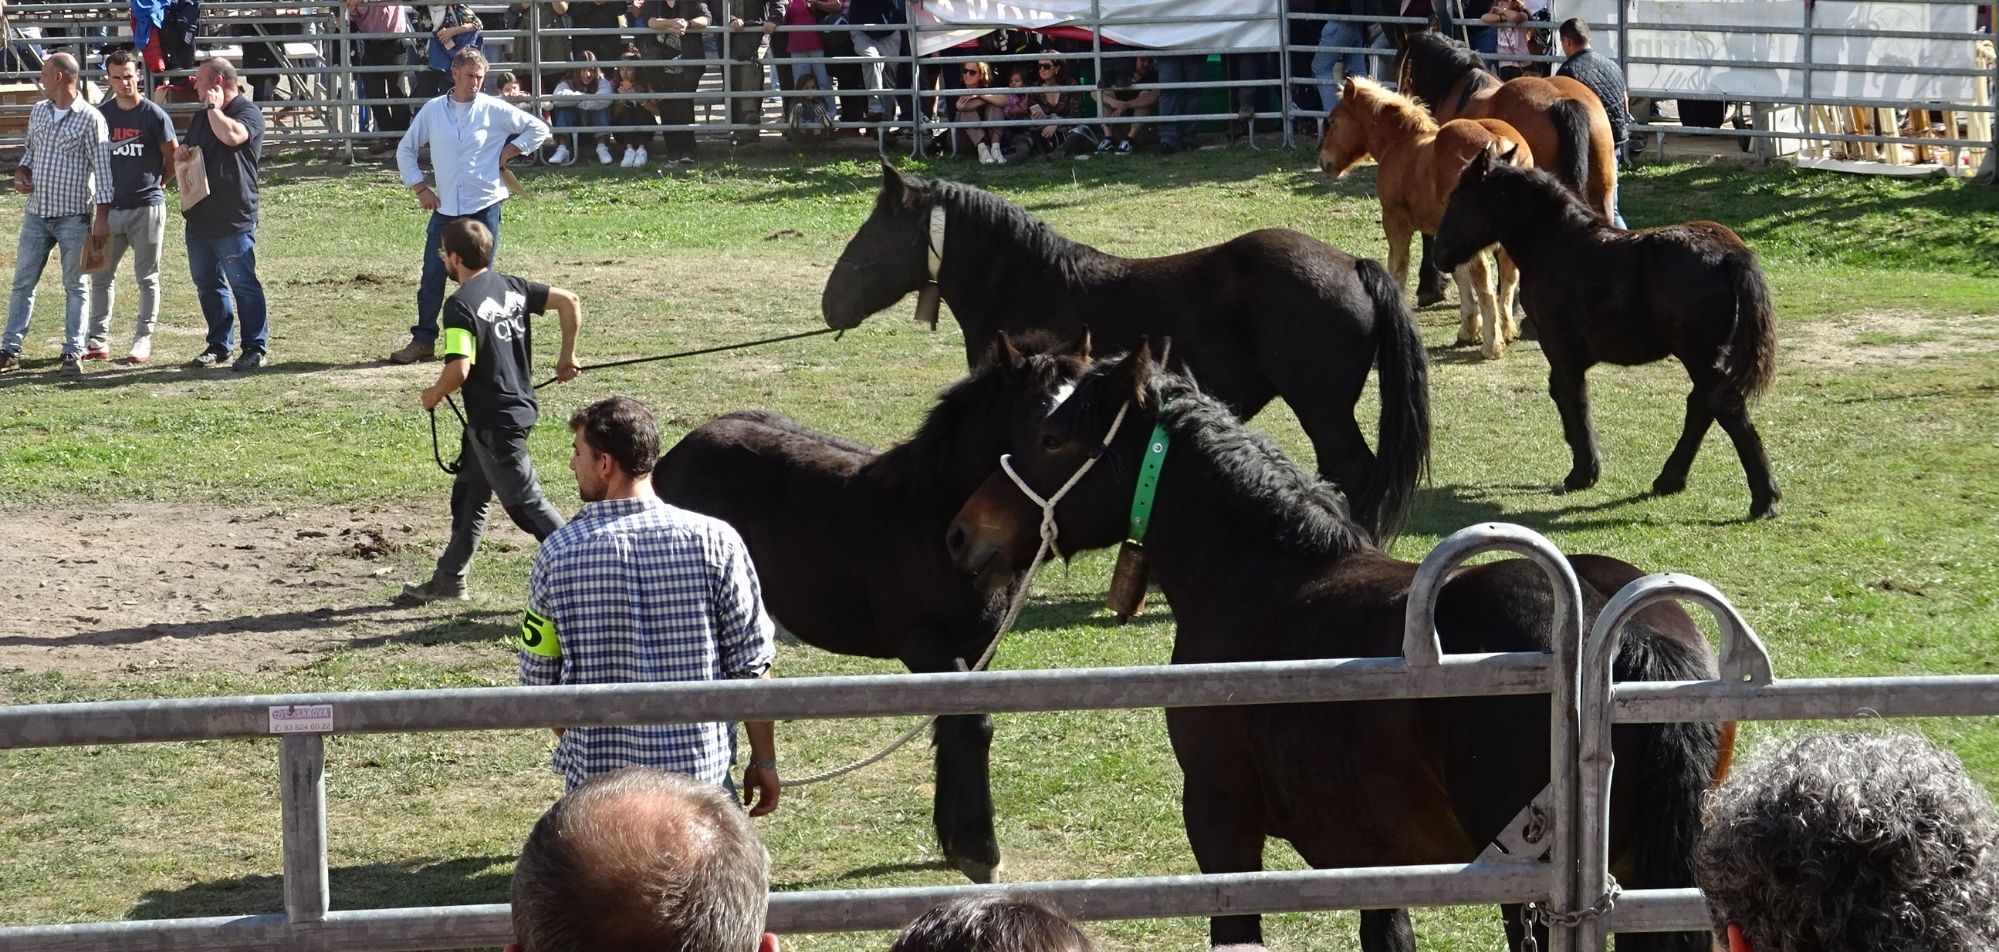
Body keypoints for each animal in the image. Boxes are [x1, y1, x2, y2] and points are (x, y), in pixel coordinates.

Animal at [651, 331, 1095, 883]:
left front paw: (955, 842)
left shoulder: (977, 647)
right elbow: (971, 725)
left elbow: (952, 727)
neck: (932, 518)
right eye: (1045, 429)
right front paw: (980, 850)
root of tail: (676, 454)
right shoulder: (925, 644)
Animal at [821, 160, 1432, 544]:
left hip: (1323, 411)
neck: (1031, 281)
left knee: (1353, 471)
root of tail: (1352, 263)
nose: (831, 303)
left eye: (875, 233)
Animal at [944, 343, 1732, 952]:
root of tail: (1626, 631)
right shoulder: (1371, 857)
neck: (1260, 569)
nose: (962, 532)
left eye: (1052, 439)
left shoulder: (1220, 823)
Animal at [1320, 75, 1533, 359]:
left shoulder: (1395, 221)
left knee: (1485, 280)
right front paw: (1468, 329)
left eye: (1332, 121)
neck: (1399, 143)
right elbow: (1458, 274)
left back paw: (1492, 345)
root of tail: (1497, 143)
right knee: (1509, 275)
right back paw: (1506, 330)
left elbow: (1398, 269)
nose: (1324, 162)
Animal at [1435, 147, 1782, 521]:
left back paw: (1763, 499)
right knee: (1704, 405)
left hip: (1699, 356)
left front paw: (1582, 473)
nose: (1439, 254)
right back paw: (1670, 480)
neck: (1553, 244)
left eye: (1457, 198)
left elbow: (1572, 400)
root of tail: (1731, 252)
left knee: (1725, 407)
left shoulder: (1561, 352)